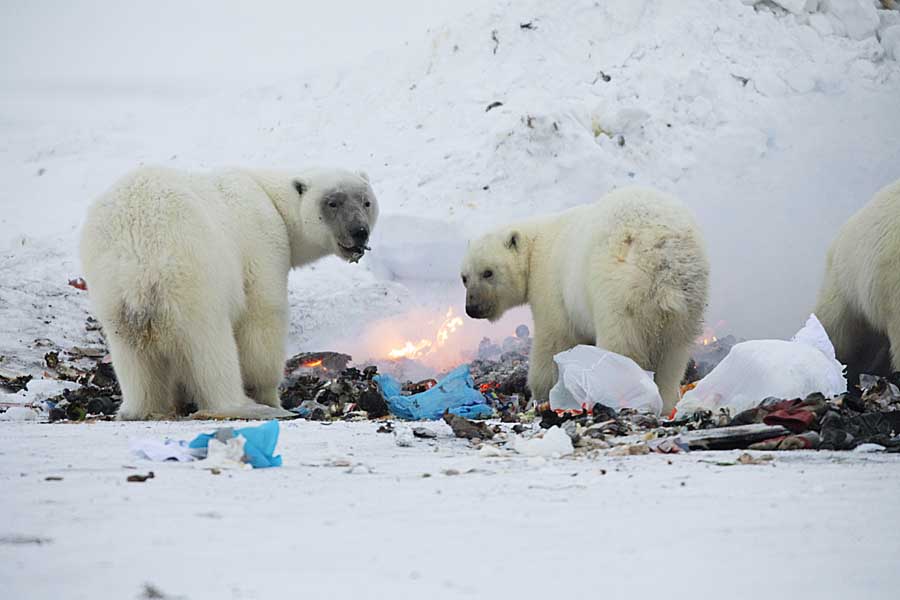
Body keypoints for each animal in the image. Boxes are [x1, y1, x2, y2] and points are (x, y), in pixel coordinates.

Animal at [81, 166, 380, 420]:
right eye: (332, 203)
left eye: (366, 202)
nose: (359, 232)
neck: (270, 197)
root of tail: (135, 250)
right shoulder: (263, 242)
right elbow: (262, 318)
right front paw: (270, 397)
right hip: (193, 271)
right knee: (209, 342)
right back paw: (245, 406)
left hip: (111, 287)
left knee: (132, 351)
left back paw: (141, 409)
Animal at [464, 188, 712, 412]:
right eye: (464, 277)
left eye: (488, 272)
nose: (472, 308)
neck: (535, 246)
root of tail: (661, 252)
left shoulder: (550, 287)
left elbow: (553, 342)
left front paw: (541, 395)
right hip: (689, 291)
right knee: (674, 353)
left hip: (618, 288)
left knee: (621, 345)